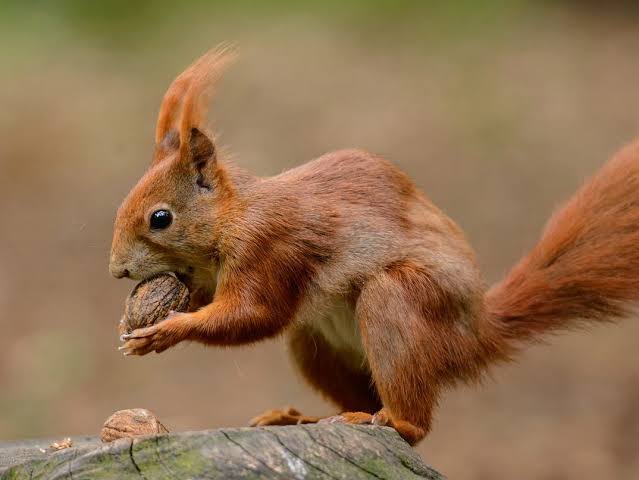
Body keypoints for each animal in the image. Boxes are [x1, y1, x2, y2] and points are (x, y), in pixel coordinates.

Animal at [112, 47, 639, 444]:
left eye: (161, 218)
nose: (117, 271)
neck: (232, 219)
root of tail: (477, 334)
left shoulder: (269, 247)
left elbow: (255, 315)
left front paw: (166, 331)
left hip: (401, 303)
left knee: (414, 418)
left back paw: (396, 421)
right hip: (317, 342)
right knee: (357, 392)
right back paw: (311, 418)